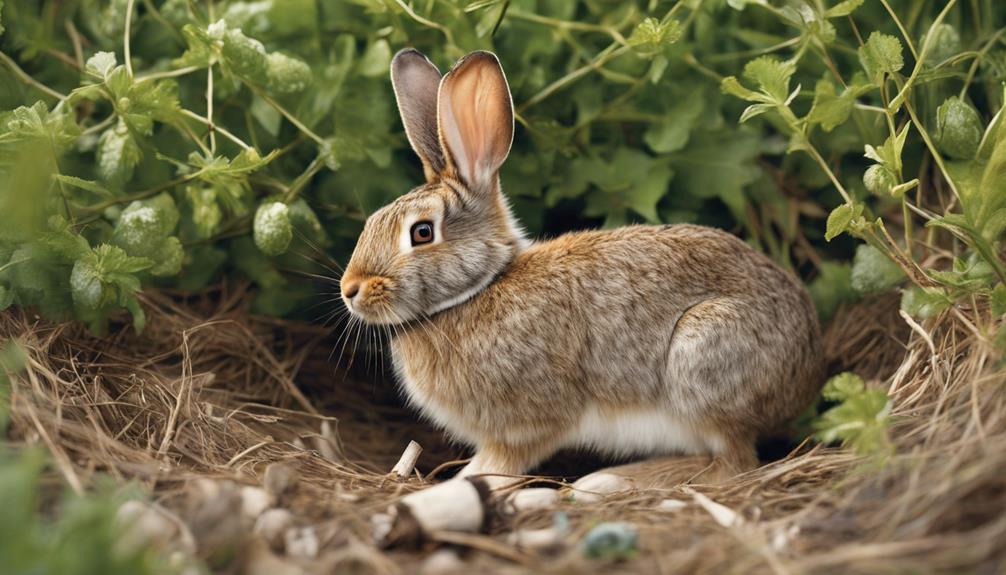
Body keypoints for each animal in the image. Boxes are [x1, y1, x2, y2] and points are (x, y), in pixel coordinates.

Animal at [340, 48, 824, 484]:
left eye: (422, 232)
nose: (350, 289)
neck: (481, 287)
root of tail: (807, 366)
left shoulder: (525, 424)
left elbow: (499, 464)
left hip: (702, 361)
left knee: (732, 463)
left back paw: (612, 481)